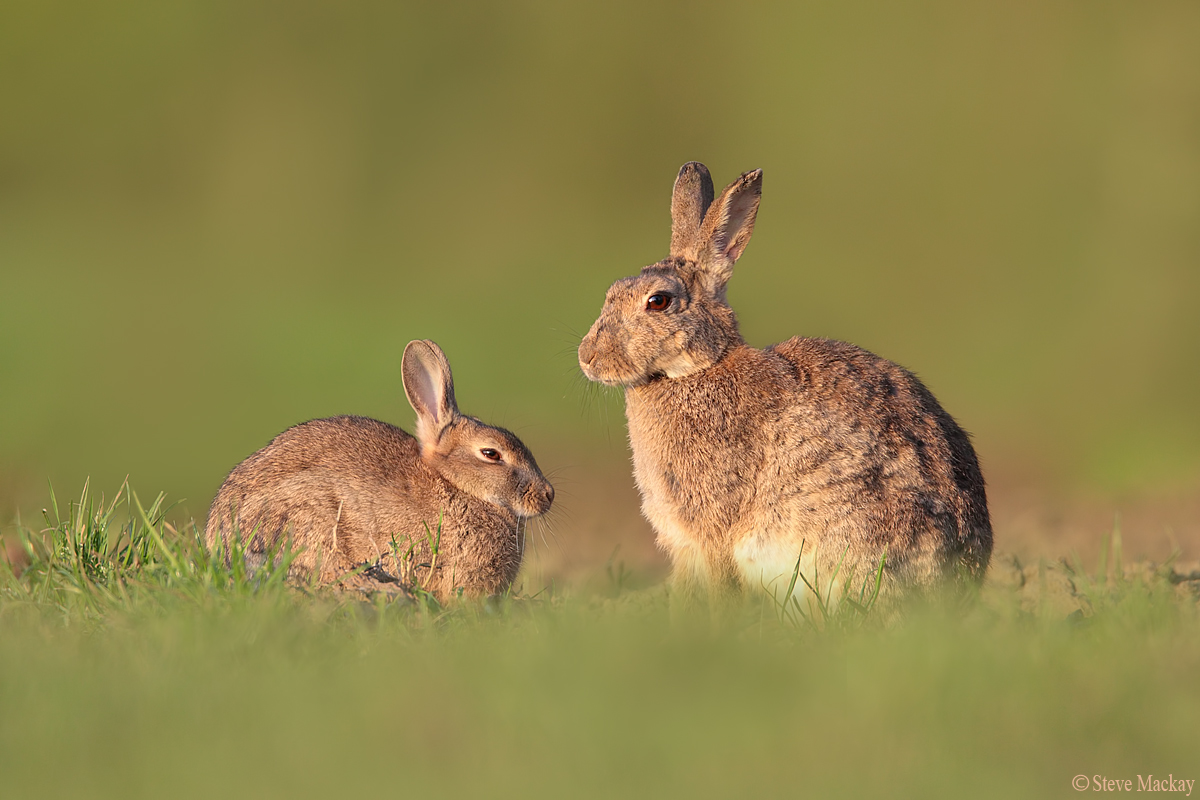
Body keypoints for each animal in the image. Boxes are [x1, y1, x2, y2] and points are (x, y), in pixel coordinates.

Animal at [578, 162, 992, 605]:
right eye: (612, 291)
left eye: (658, 301)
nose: (587, 357)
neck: (699, 369)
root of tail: (960, 578)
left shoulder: (711, 533)